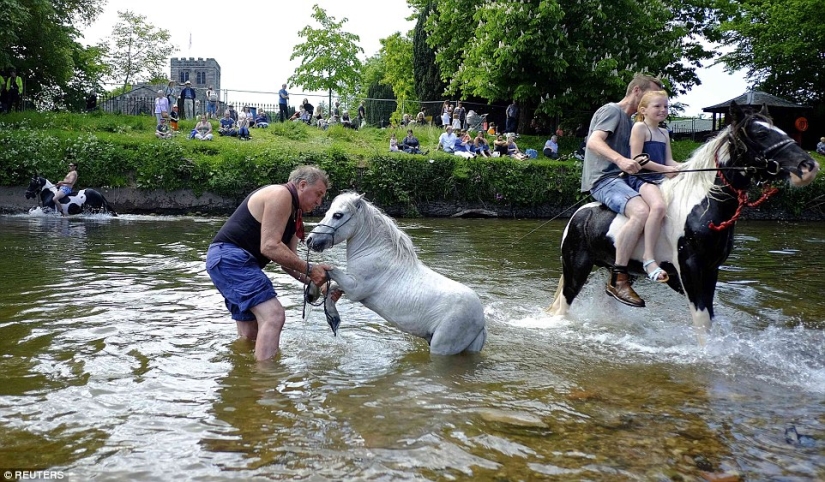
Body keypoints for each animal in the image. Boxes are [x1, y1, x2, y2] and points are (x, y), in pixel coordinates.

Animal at [306, 192, 487, 355]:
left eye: (338, 215)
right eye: (327, 213)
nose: (310, 240)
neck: (374, 252)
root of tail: (481, 322)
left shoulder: (355, 290)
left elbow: (330, 271)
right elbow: (330, 284)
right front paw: (328, 313)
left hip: (442, 348)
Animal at [549, 103, 820, 343]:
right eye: (761, 133)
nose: (808, 166)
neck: (702, 205)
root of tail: (578, 215)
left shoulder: (710, 270)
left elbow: (709, 316)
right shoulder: (690, 269)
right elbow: (702, 321)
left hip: (617, 270)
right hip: (576, 268)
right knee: (564, 305)